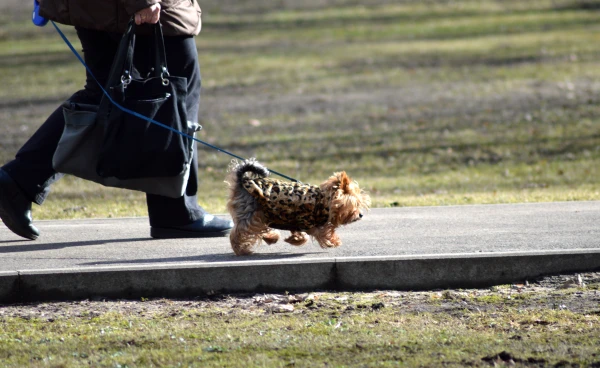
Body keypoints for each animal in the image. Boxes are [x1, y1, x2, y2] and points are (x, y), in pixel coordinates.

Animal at [225, 158, 370, 256]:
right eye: (355, 204)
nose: (361, 214)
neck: (323, 200)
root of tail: (244, 181)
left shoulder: (295, 219)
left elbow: (301, 235)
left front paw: (294, 239)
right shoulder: (308, 220)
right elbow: (322, 232)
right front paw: (334, 241)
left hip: (261, 212)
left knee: (258, 228)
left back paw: (271, 237)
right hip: (251, 212)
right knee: (240, 231)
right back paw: (241, 249)